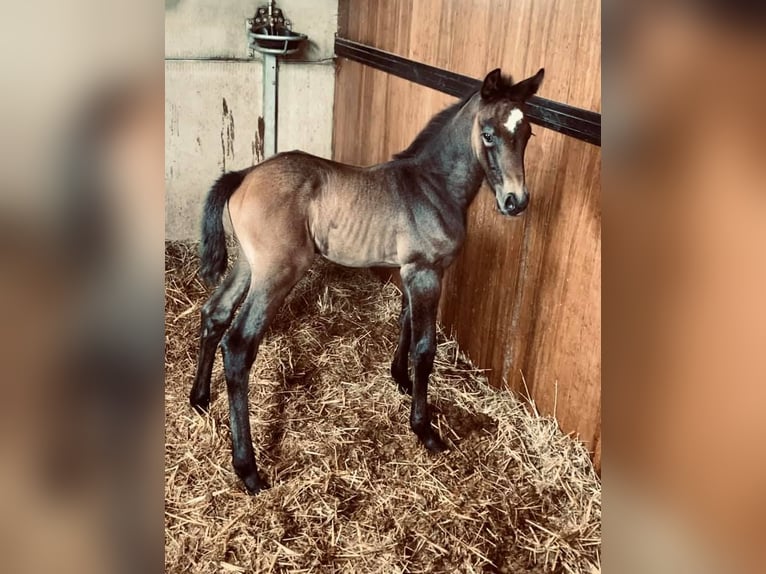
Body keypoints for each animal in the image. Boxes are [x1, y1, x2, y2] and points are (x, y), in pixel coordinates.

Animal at [191, 67, 545, 493]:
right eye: (488, 133)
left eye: (527, 133)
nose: (515, 201)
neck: (432, 186)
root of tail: (244, 175)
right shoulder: (426, 272)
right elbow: (425, 348)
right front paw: (424, 429)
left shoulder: (414, 270)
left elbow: (406, 323)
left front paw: (400, 380)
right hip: (277, 273)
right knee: (239, 345)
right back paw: (248, 469)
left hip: (248, 265)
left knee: (215, 312)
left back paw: (199, 398)